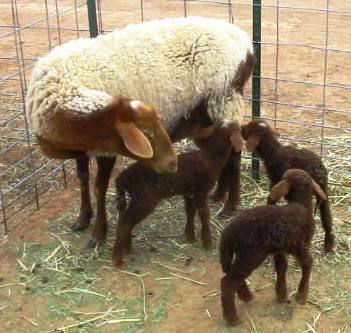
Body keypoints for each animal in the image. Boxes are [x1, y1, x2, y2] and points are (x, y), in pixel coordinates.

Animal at [113, 120, 245, 266]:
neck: (210, 158)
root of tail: (122, 178)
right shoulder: (200, 190)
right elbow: (204, 213)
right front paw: (207, 242)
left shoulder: (188, 192)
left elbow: (190, 211)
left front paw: (190, 236)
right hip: (144, 199)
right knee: (125, 222)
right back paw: (118, 259)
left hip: (136, 198)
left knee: (124, 220)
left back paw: (127, 248)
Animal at [221, 169, 328, 324]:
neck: (301, 204)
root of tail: (228, 233)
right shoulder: (300, 246)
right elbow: (308, 262)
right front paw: (301, 295)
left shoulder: (280, 249)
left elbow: (281, 267)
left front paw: (281, 295)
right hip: (250, 255)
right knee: (228, 283)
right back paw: (232, 318)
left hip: (239, 255)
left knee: (233, 277)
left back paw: (246, 296)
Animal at [241, 118, 336, 250]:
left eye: (249, 128)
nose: (240, 127)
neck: (273, 152)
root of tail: (321, 170)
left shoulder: (276, 179)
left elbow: (272, 197)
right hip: (323, 188)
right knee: (326, 213)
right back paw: (329, 244)